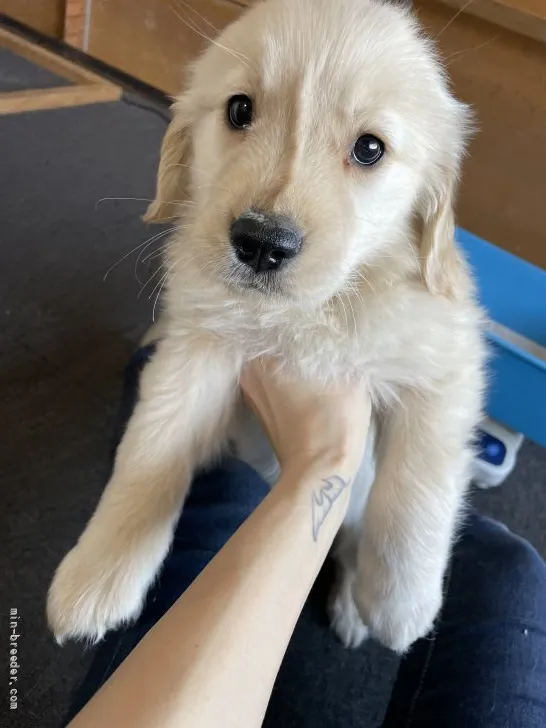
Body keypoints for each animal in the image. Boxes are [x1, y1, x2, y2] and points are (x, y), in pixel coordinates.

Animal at [45, 0, 480, 652]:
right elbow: (150, 449)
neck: (308, 314)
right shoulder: (196, 348)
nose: (261, 243)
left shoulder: (446, 363)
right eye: (239, 110)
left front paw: (400, 603)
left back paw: (354, 608)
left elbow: (417, 485)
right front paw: (95, 575)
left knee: (353, 535)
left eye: (370, 148)